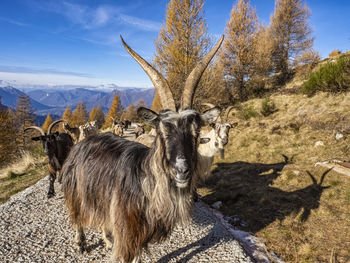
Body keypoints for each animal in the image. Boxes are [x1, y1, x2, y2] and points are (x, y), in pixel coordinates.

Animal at [61, 35, 223, 263]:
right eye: (162, 131)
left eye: (196, 131)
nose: (182, 170)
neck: (145, 182)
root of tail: (82, 142)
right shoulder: (127, 233)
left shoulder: (139, 235)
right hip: (75, 191)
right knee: (76, 217)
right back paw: (81, 243)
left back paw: (107, 239)